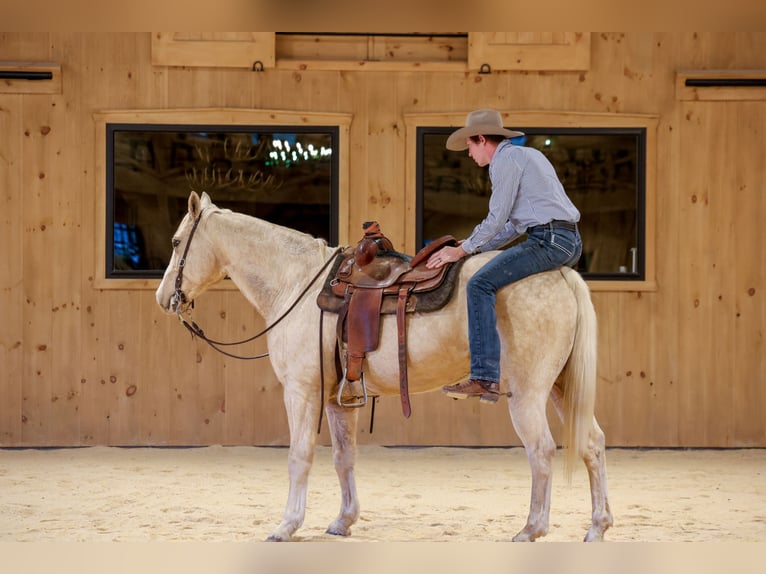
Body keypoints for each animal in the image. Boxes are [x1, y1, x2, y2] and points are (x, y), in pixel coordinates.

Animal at [155, 191, 613, 542]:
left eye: (177, 242)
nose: (164, 298)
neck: (296, 282)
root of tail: (561, 275)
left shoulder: (302, 391)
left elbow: (299, 456)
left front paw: (286, 526)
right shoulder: (338, 398)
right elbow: (344, 457)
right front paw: (343, 521)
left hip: (528, 394)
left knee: (542, 451)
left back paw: (531, 529)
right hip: (561, 388)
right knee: (592, 443)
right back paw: (597, 526)